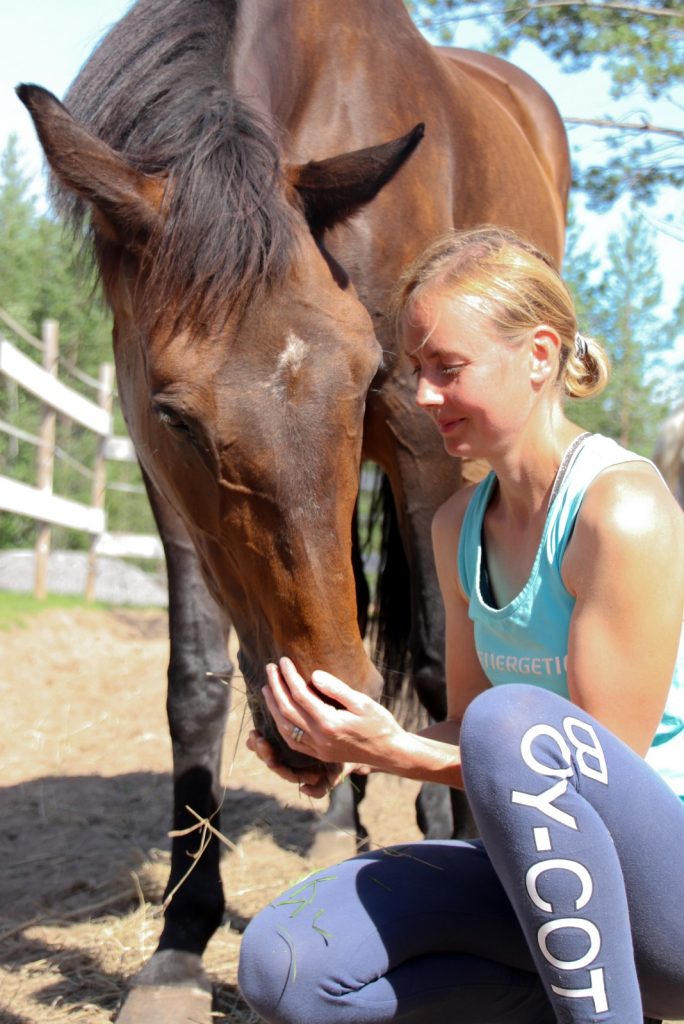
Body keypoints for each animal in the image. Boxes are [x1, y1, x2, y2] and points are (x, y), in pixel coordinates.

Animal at [18, 0, 570, 1016]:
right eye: (175, 414)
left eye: (364, 375)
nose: (315, 721)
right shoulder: (162, 473)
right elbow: (194, 682)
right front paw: (179, 945)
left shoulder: (423, 436)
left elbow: (440, 657)